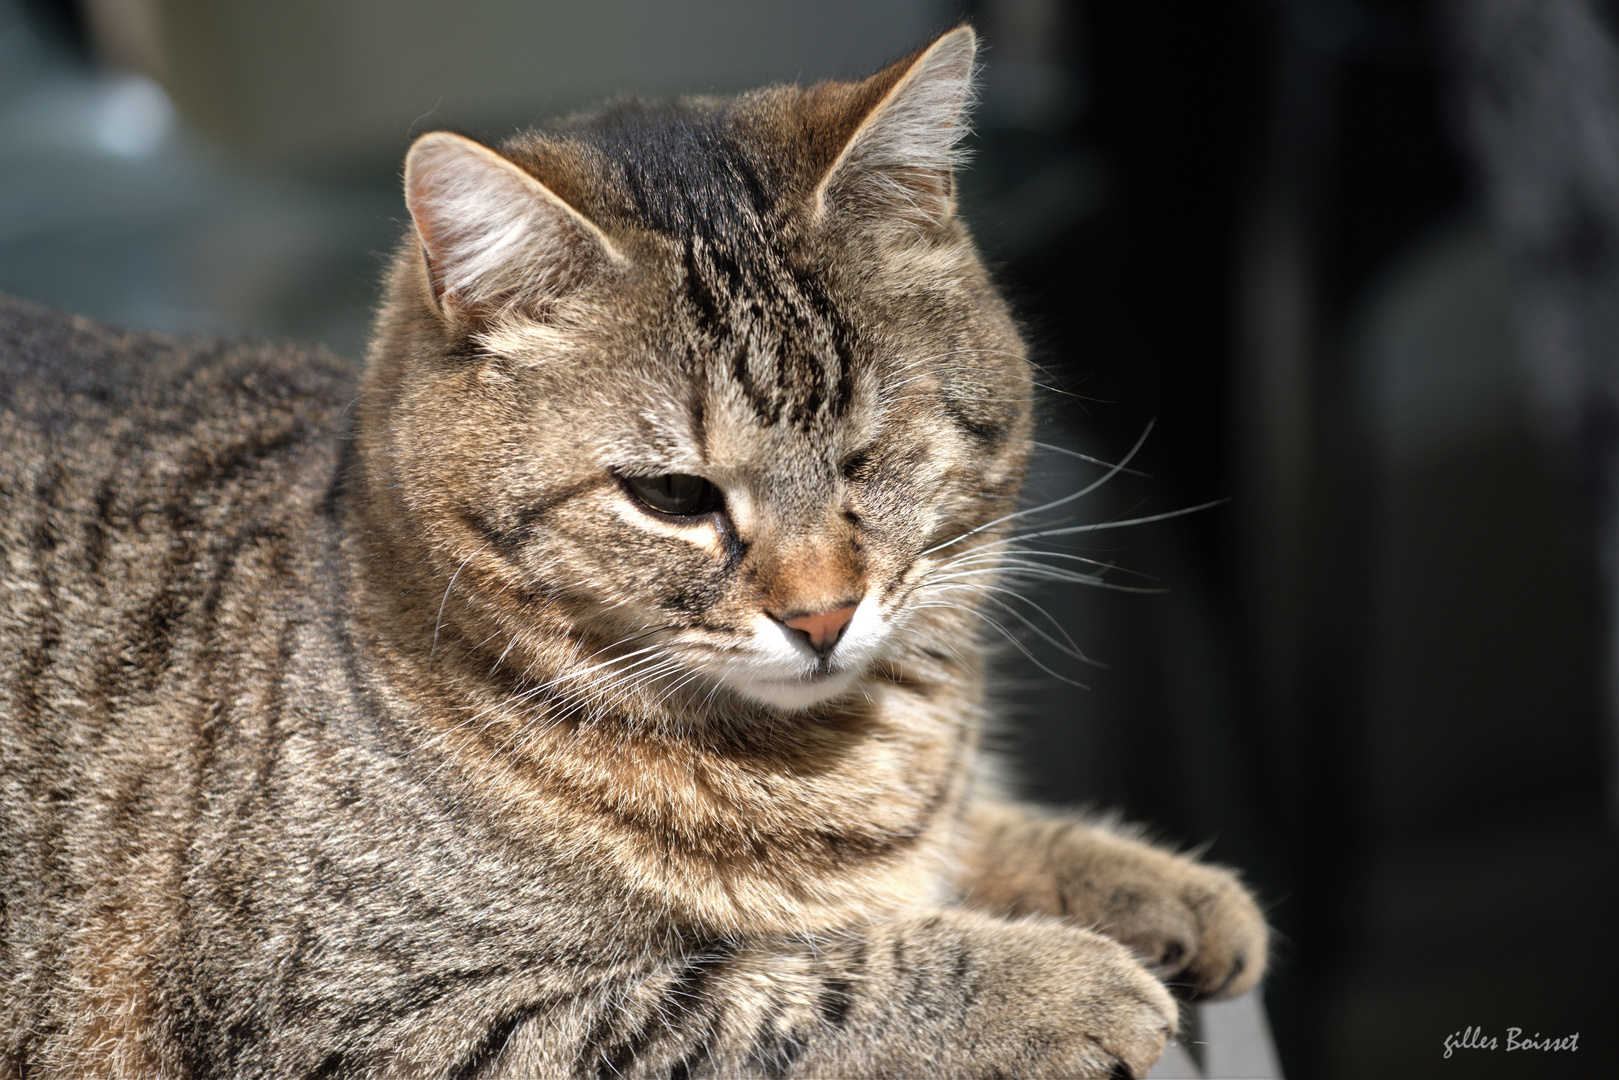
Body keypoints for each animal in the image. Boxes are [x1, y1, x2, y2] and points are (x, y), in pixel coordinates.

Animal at [0, 25, 1262, 1080]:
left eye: (869, 453)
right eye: (672, 496)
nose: (822, 615)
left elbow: (968, 831)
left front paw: (1153, 883)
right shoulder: (376, 1017)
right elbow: (788, 986)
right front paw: (1051, 975)